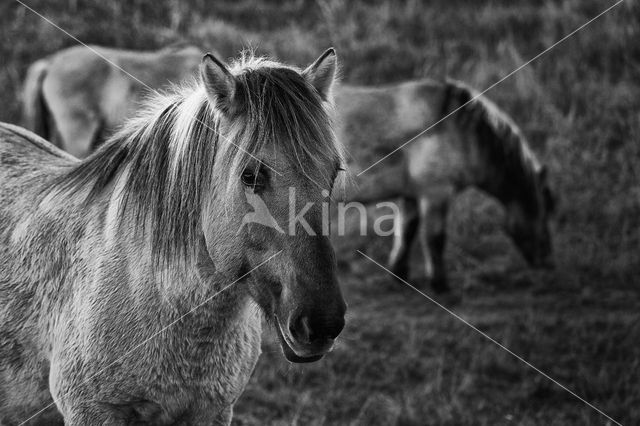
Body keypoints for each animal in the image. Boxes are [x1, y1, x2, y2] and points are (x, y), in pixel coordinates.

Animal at [22, 45, 556, 292]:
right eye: (541, 210)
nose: (548, 263)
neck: (452, 122)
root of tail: (50, 62)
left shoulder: (412, 195)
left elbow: (407, 232)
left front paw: (400, 273)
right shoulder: (435, 192)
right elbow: (435, 238)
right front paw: (442, 285)